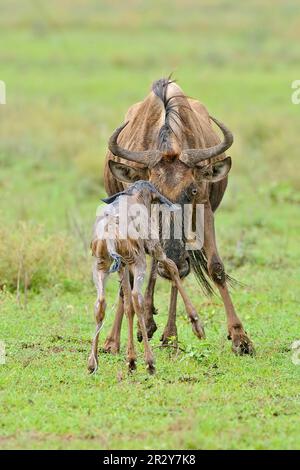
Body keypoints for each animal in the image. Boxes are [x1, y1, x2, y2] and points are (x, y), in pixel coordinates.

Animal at [86, 180, 204, 374]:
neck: (135, 197)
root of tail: (111, 228)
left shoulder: (123, 267)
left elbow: (127, 305)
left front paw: (131, 359)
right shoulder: (154, 248)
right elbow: (172, 268)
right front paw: (198, 326)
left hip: (101, 267)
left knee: (101, 303)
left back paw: (93, 363)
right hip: (139, 262)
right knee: (137, 298)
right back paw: (150, 362)